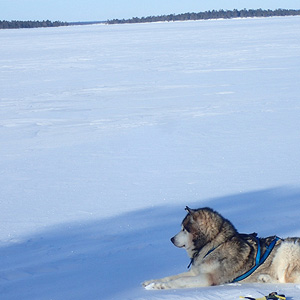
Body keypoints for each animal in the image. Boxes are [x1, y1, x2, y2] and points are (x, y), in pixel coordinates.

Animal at [142, 207, 300, 290]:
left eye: (184, 230)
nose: (171, 239)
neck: (213, 244)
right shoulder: (195, 272)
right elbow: (173, 276)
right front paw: (152, 282)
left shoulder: (207, 278)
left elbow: (178, 281)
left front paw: (161, 285)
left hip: (286, 249)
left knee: (287, 281)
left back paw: (265, 279)